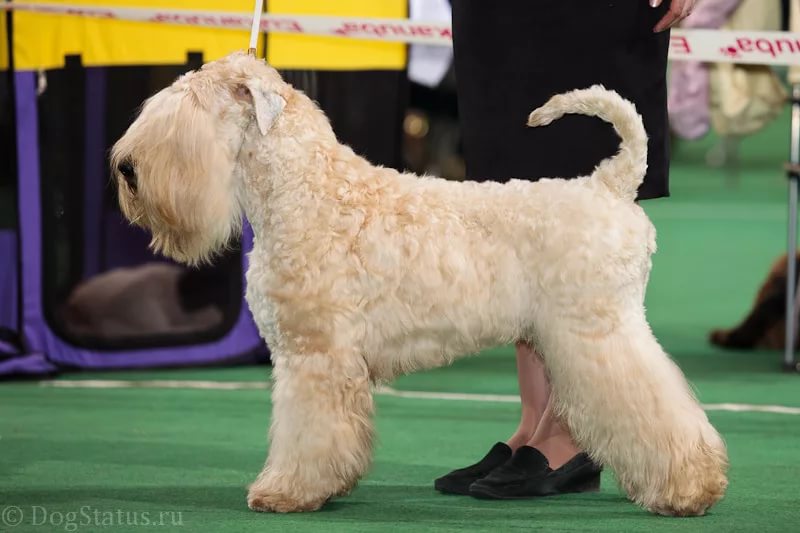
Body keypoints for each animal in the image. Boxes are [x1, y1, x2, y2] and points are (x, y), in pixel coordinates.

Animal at [112, 52, 732, 512]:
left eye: (187, 116)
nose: (126, 169)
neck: (308, 193)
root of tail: (609, 186)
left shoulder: (314, 356)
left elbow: (305, 432)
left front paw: (286, 492)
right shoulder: (319, 358)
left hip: (597, 335)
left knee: (653, 403)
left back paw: (690, 489)